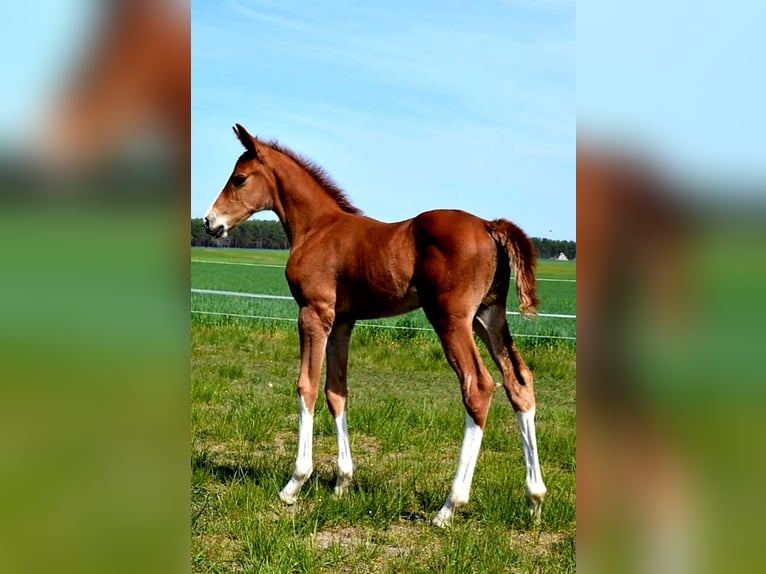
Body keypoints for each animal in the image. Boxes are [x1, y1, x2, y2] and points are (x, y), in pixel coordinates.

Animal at [204, 124, 548, 528]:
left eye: (239, 179)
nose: (210, 222)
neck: (317, 228)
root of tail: (489, 225)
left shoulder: (313, 313)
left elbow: (306, 386)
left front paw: (294, 483)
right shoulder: (342, 322)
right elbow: (336, 392)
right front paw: (342, 482)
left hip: (451, 318)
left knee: (478, 386)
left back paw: (449, 506)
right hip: (489, 316)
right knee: (519, 382)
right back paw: (534, 499)